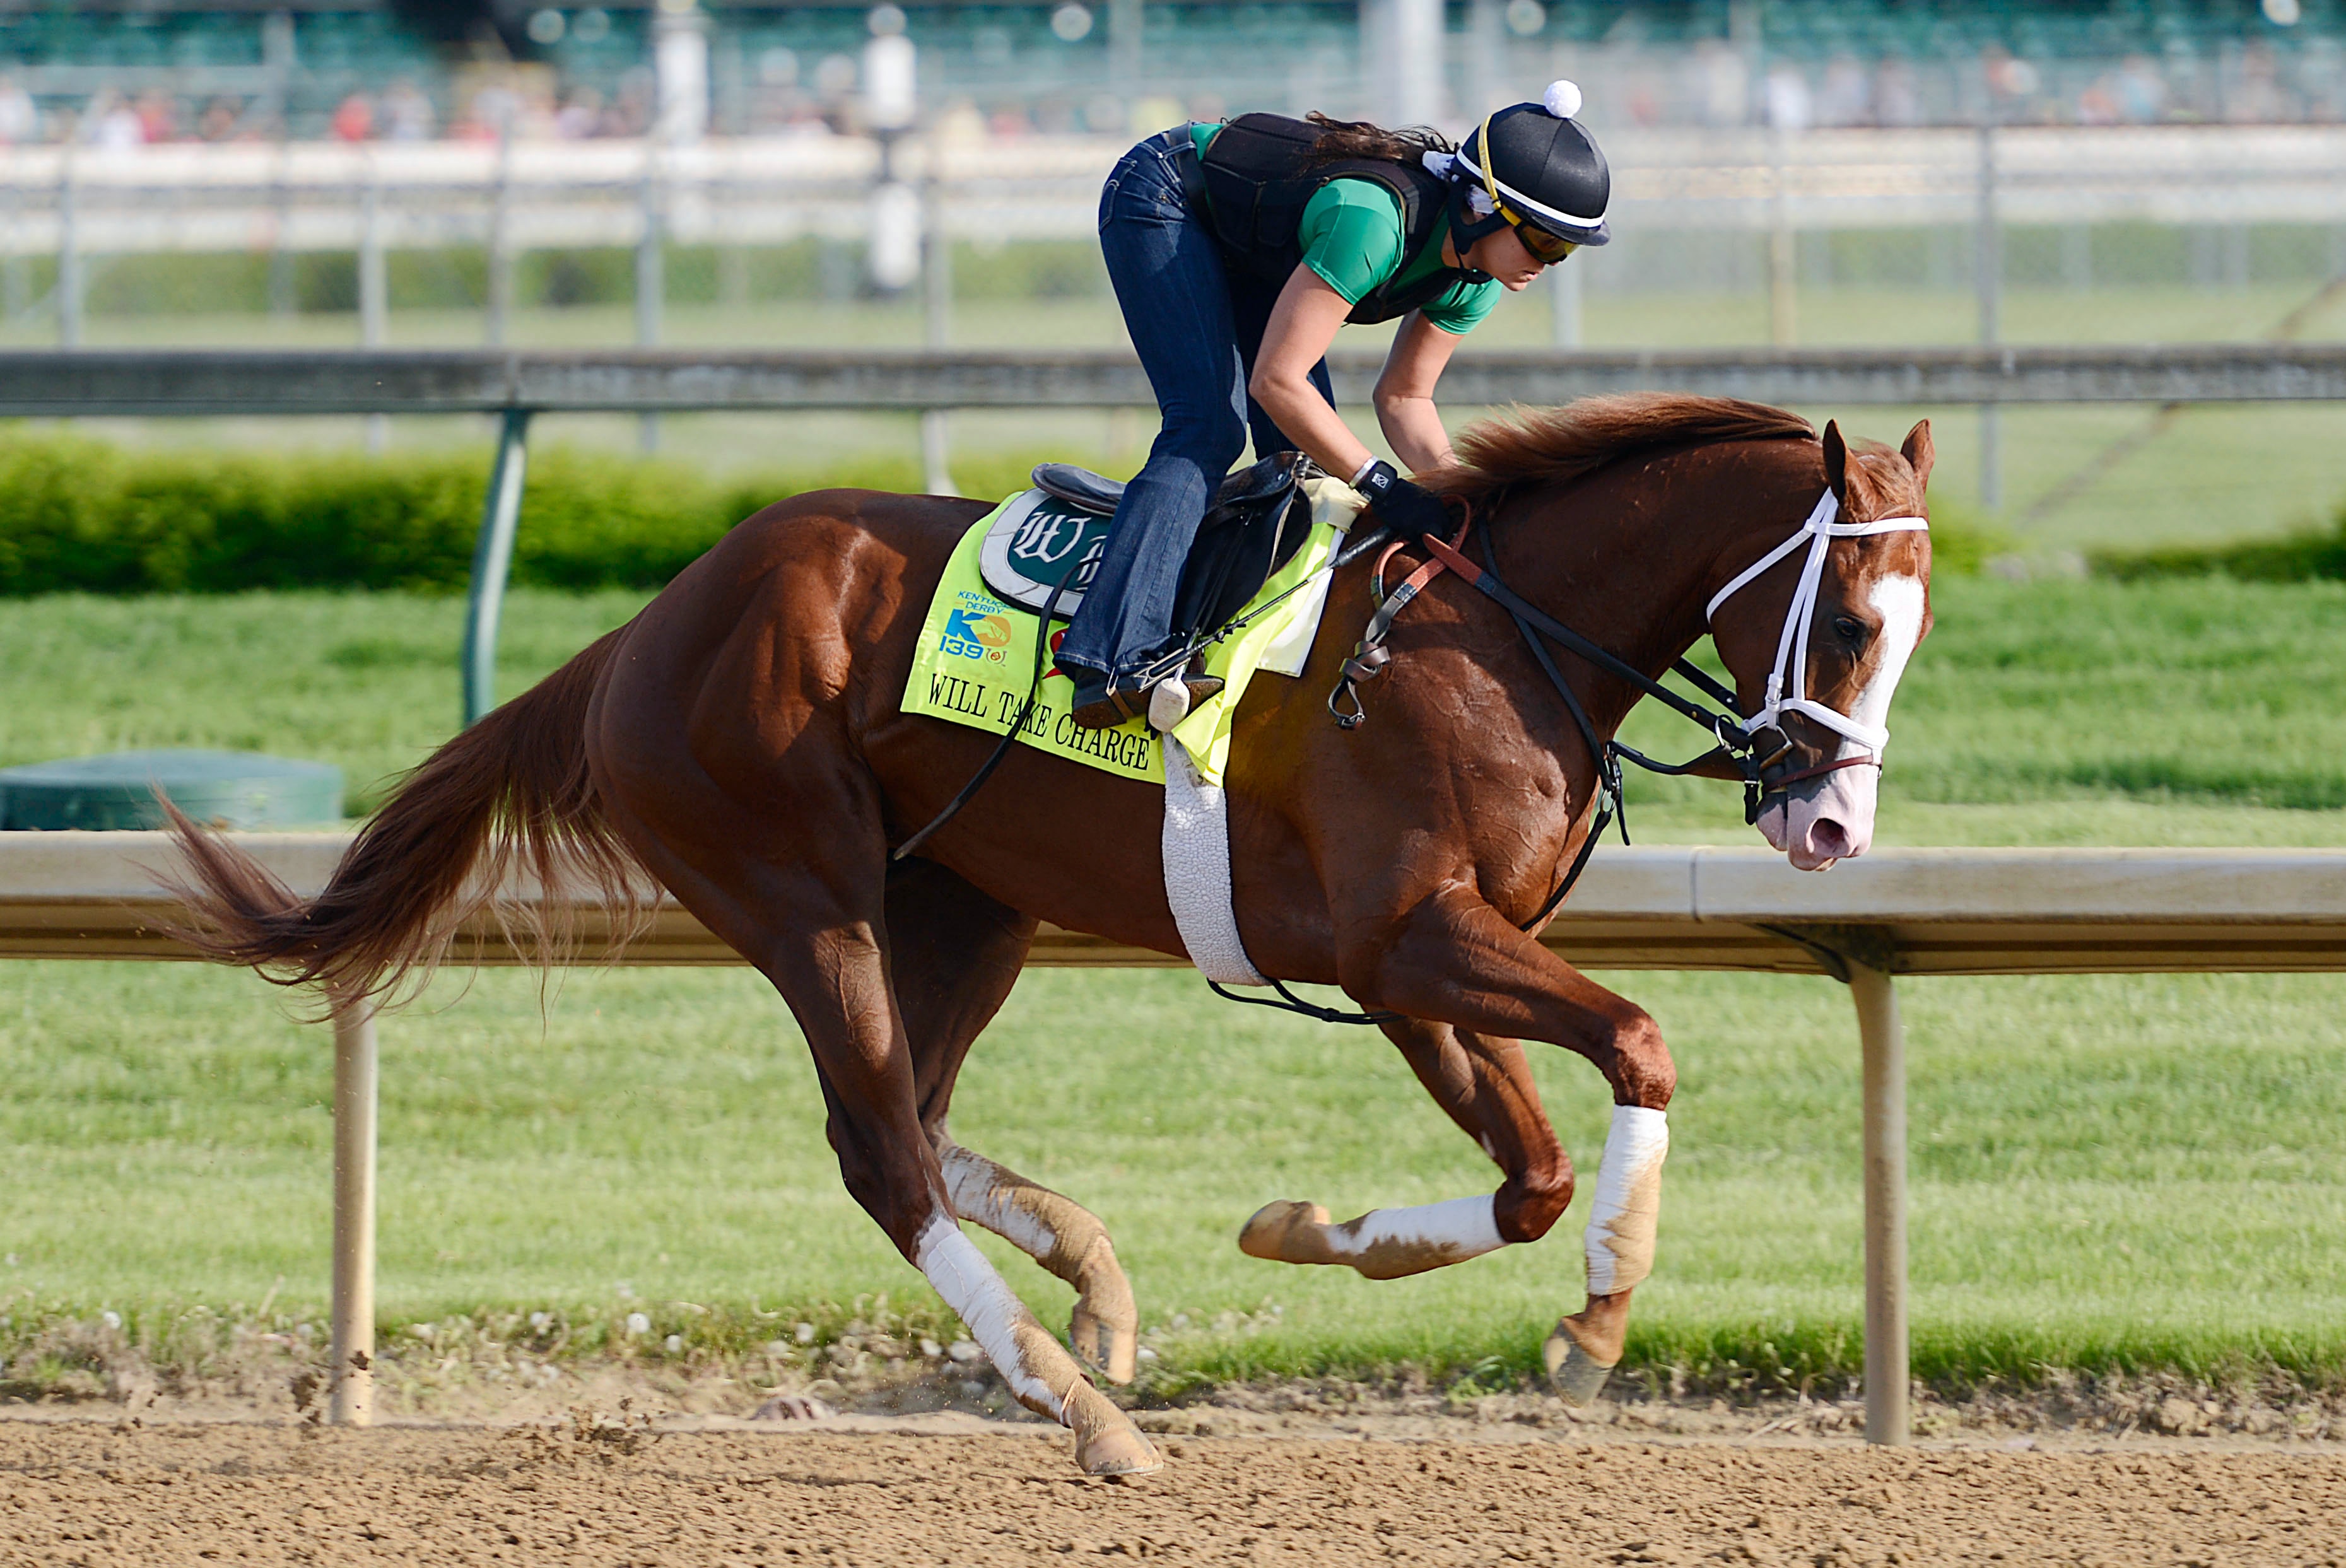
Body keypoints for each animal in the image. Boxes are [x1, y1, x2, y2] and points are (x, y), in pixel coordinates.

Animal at [161, 393, 1935, 1477]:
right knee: (881, 1147)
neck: (1489, 637)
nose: (1829, 833)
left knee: (911, 1118)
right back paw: (1076, 1403)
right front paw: (1594, 1323)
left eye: (1914, 636)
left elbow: (1529, 1175)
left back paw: (1098, 1297)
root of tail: (638, 634)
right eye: (1851, 621)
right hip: (801, 892)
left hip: (968, 906)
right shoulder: (1410, 940)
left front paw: (1307, 1230)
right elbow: (1636, 1042)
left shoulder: (1405, 962)